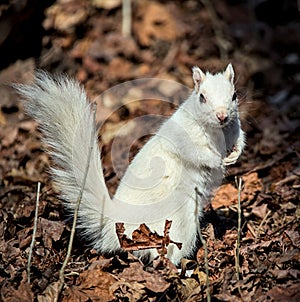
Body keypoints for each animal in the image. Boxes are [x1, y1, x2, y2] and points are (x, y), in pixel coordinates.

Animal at [15, 63, 245, 264]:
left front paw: (234, 155)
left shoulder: (234, 129)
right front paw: (218, 159)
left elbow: (240, 140)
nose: (222, 116)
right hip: (178, 222)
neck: (218, 132)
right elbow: (198, 154)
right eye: (202, 97)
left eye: (234, 95)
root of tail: (116, 224)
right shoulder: (184, 138)